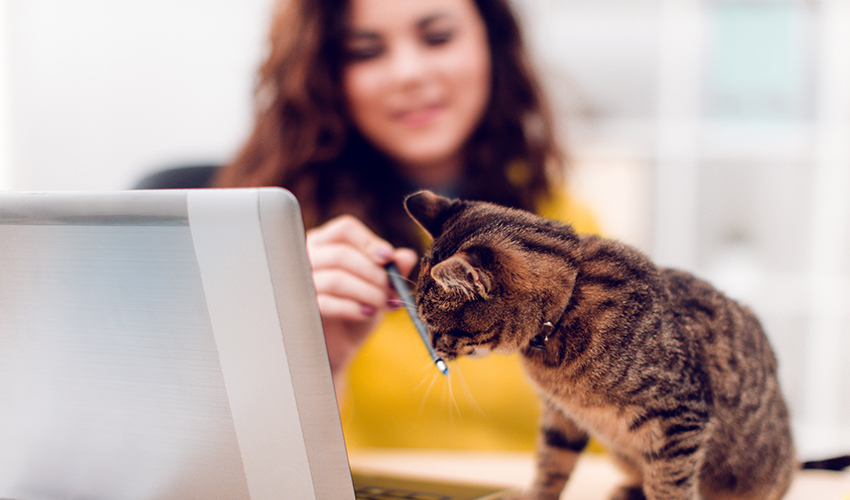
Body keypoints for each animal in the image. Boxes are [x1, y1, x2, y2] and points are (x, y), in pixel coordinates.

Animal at [404, 190, 796, 500]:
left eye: (437, 328)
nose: (435, 350)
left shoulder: (680, 417)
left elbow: (669, 486)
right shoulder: (561, 416)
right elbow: (550, 466)